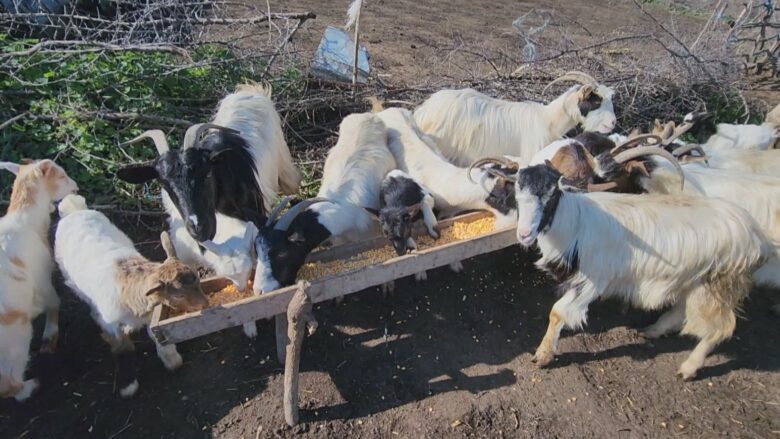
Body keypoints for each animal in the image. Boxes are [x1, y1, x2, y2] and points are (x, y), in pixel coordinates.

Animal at [0, 160, 77, 400]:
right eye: (61, 176)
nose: (76, 187)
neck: (26, 221)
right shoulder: (42, 277)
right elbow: (54, 302)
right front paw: (49, 338)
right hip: (16, 336)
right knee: (8, 385)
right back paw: (31, 386)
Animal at [54, 196, 209, 398]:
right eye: (180, 294)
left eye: (198, 279)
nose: (205, 304)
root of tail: (73, 210)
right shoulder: (112, 325)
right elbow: (123, 349)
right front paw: (128, 386)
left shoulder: (152, 313)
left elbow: (156, 335)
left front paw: (171, 359)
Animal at [502, 163, 772, 380]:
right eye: (517, 193)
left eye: (550, 195)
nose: (524, 234)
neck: (575, 222)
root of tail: (755, 234)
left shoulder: (593, 280)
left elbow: (557, 312)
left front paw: (542, 355)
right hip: (693, 278)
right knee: (682, 308)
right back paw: (653, 331)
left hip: (719, 282)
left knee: (721, 327)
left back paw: (688, 369)